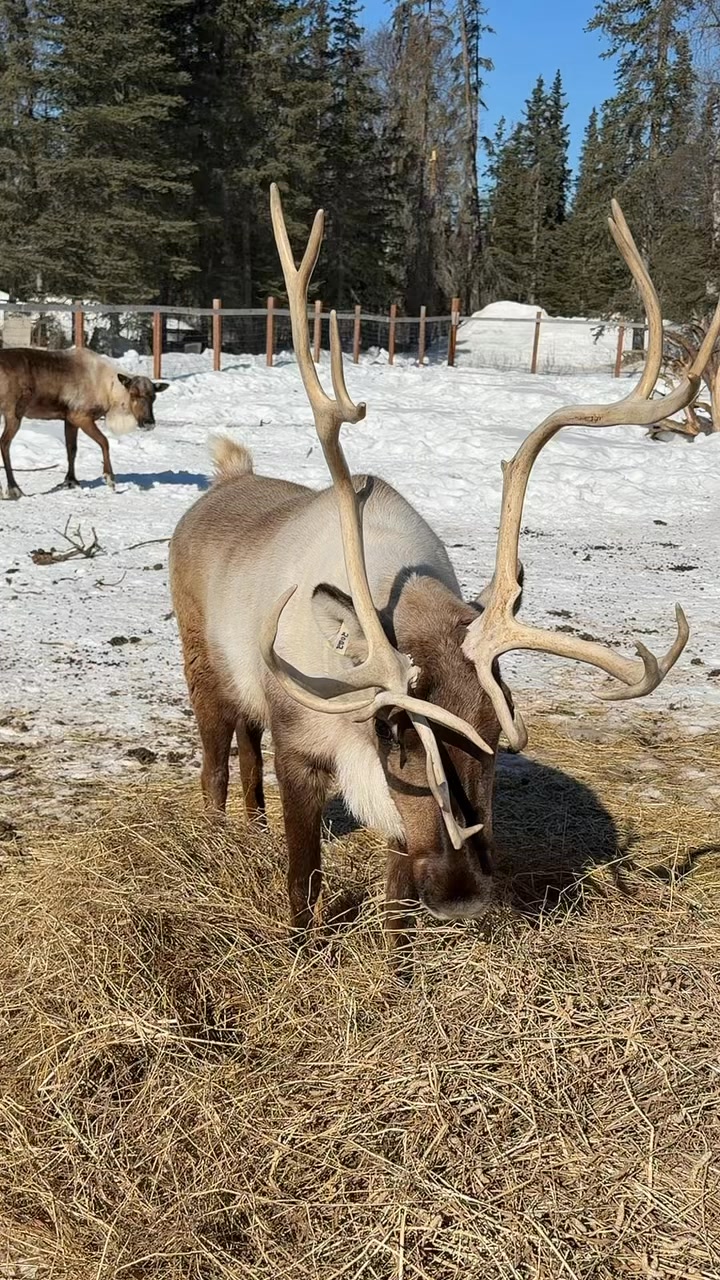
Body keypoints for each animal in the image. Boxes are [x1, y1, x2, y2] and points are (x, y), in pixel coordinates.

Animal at [0, 346, 169, 499]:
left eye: (153, 396)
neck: (109, 391)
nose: (148, 423)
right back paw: (14, 488)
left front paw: (71, 481)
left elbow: (71, 449)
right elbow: (104, 441)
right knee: (4, 443)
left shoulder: (69, 420)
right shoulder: (80, 416)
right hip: (13, 413)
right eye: (133, 394)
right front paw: (109, 478)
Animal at [169, 183, 720, 958]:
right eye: (398, 731)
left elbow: (399, 897)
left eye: (496, 732)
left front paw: (400, 961)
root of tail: (223, 480)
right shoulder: (301, 744)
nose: (462, 894)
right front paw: (300, 948)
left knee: (244, 751)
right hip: (200, 660)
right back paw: (222, 828)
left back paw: (249, 823)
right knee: (217, 755)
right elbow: (303, 874)